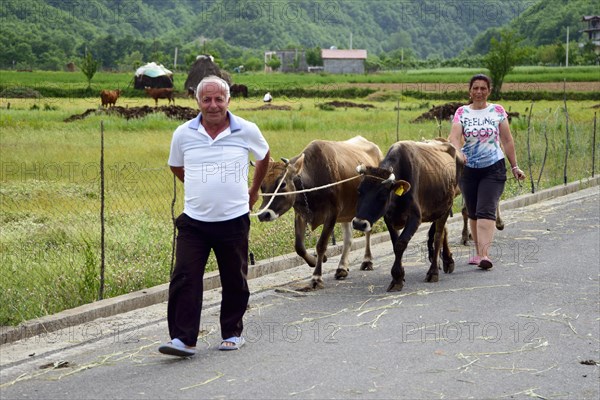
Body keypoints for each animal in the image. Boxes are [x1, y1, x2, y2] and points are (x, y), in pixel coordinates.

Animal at [256, 136, 380, 290]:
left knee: (367, 231)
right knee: (348, 238)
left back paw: (367, 261)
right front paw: (315, 261)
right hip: (346, 212)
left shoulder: (332, 213)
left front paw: (316, 277)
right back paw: (342, 268)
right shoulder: (301, 214)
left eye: (283, 184)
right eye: (262, 186)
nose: (263, 214)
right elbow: (299, 247)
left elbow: (321, 245)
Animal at [352, 140, 464, 290]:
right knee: (443, 232)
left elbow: (400, 244)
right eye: (359, 191)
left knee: (438, 236)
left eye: (382, 195)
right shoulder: (389, 218)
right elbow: (395, 244)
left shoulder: (415, 217)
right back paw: (447, 261)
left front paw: (397, 278)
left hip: (446, 206)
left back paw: (433, 271)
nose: (359, 223)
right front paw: (400, 276)